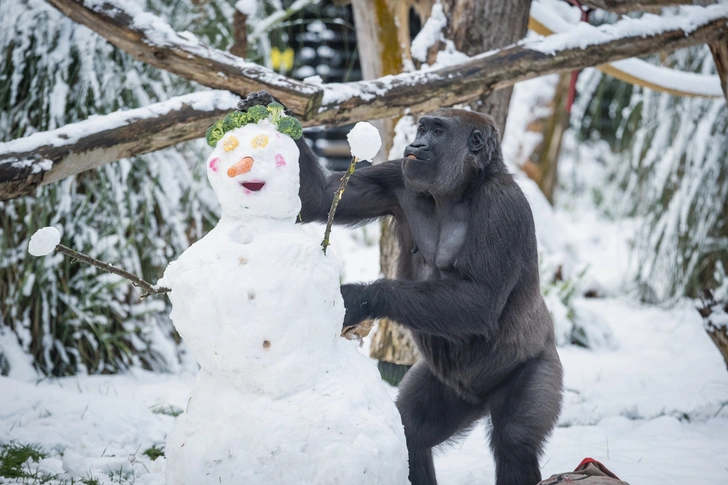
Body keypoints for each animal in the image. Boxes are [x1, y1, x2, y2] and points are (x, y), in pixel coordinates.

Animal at [239, 93, 564, 484]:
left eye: (438, 132)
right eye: (422, 128)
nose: (417, 143)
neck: (461, 189)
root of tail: (478, 399)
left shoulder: (503, 207)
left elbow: (481, 299)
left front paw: (360, 298)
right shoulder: (397, 176)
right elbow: (322, 195)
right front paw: (270, 107)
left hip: (537, 365)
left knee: (516, 441)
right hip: (449, 388)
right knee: (412, 431)